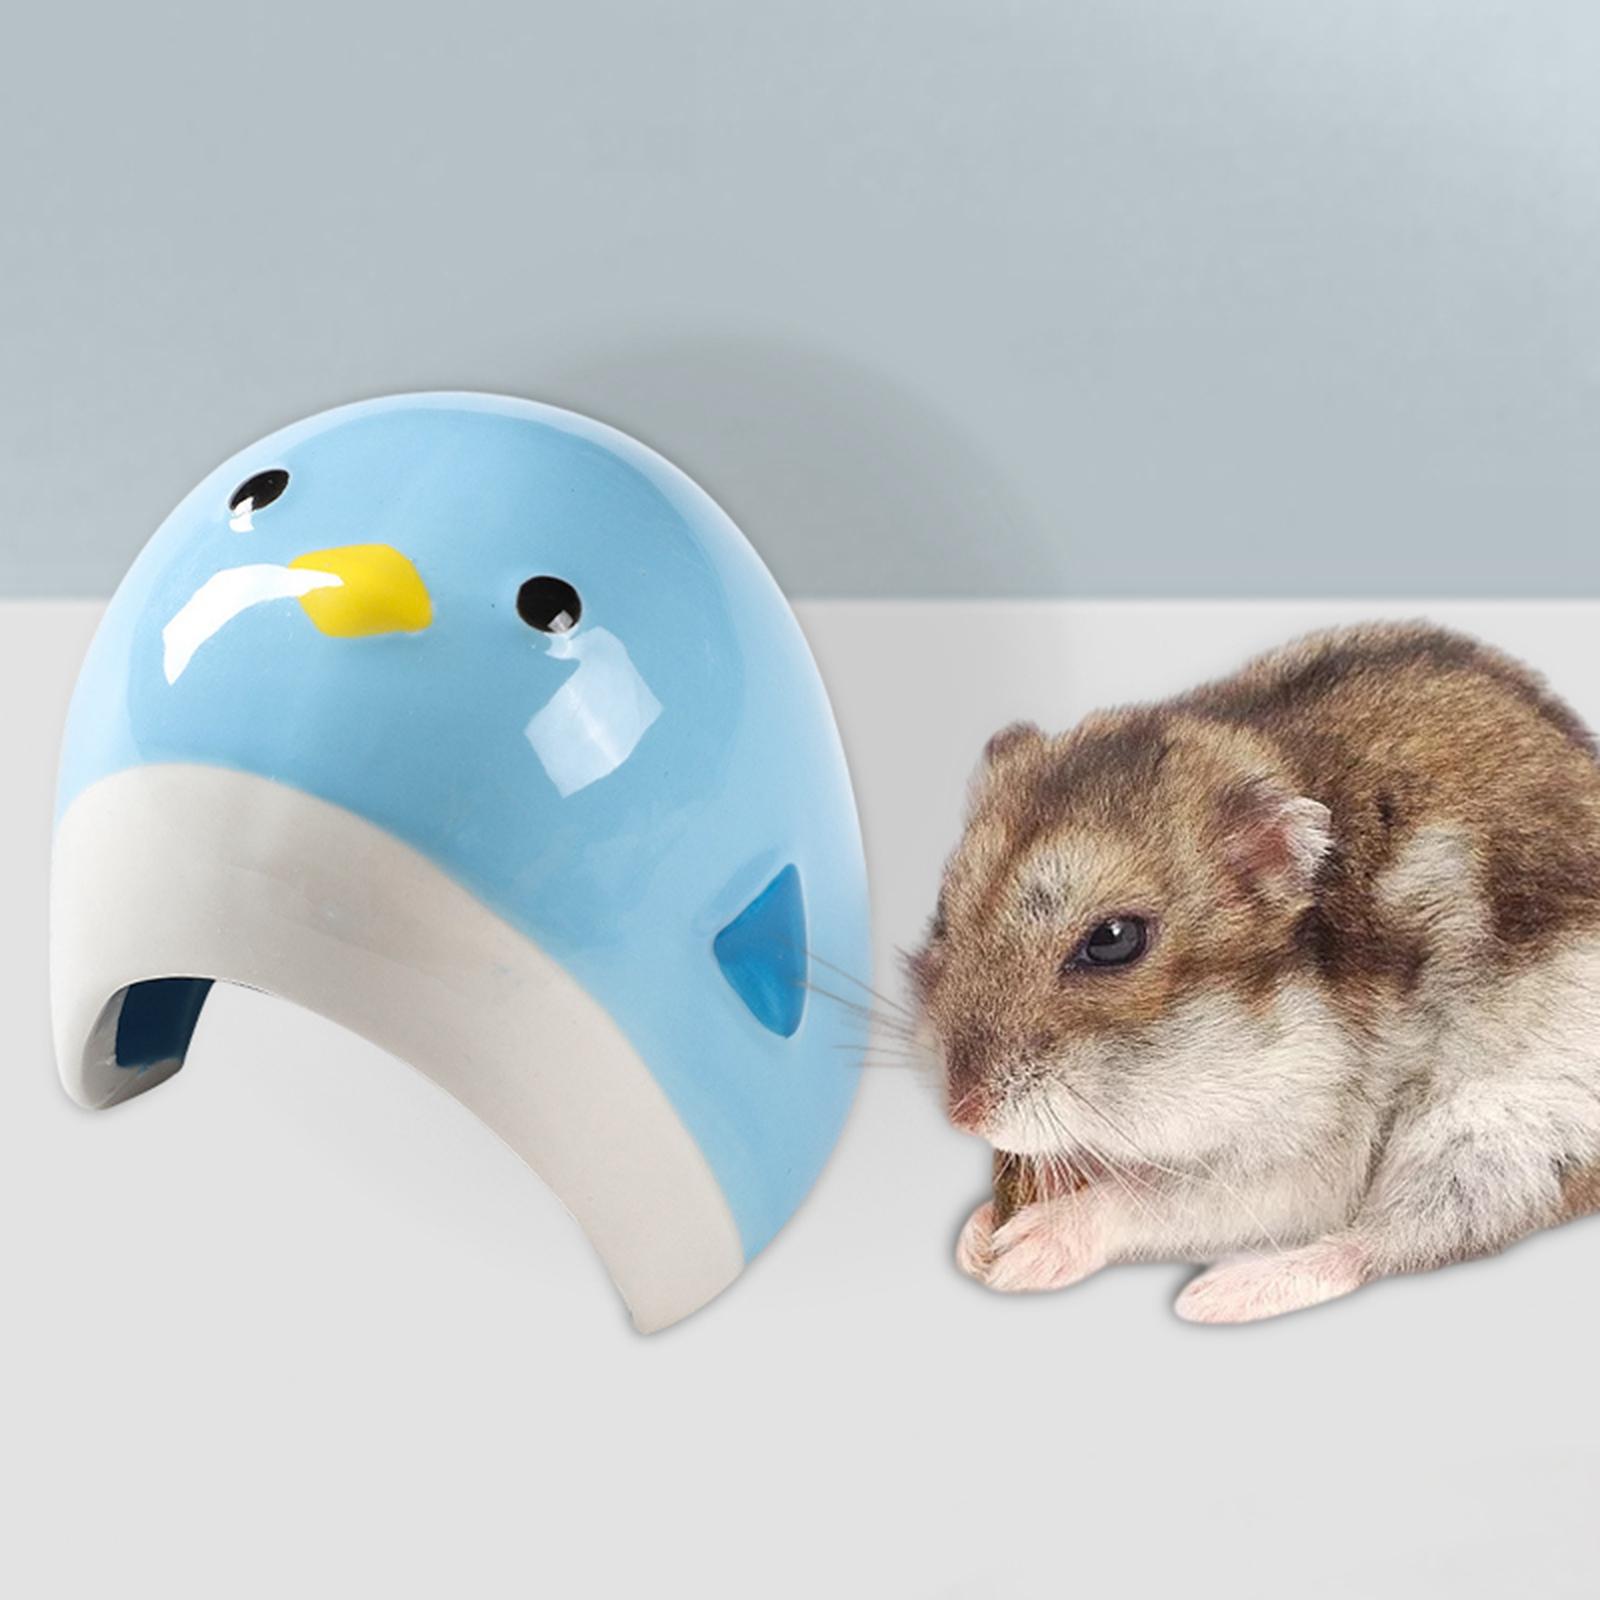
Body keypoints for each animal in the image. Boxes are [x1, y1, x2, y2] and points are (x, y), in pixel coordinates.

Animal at [910, 621, 1600, 1321]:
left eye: (1113, 941)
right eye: (942, 911)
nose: (963, 1116)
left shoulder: (1314, 1149)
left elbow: (1161, 1196)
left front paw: (1019, 1251)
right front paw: (975, 1239)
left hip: (1499, 1136)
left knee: (1387, 1244)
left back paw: (1218, 1294)